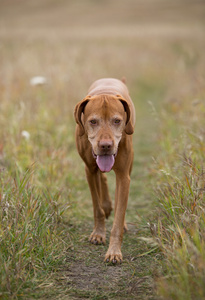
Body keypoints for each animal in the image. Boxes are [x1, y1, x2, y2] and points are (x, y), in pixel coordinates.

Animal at [74, 77, 135, 262]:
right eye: (93, 121)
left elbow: (119, 215)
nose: (106, 146)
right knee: (103, 179)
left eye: (117, 121)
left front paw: (114, 251)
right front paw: (98, 234)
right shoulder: (89, 170)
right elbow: (97, 207)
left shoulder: (123, 177)